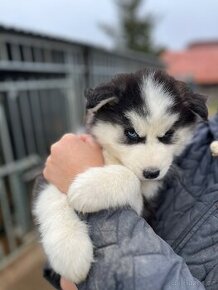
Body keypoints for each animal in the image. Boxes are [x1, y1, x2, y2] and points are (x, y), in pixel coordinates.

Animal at [33, 68, 208, 284]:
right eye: (131, 133)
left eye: (168, 134)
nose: (152, 173)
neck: (115, 158)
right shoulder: (49, 171)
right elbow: (52, 197)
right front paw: (70, 250)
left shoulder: (146, 207)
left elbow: (131, 179)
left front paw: (87, 188)